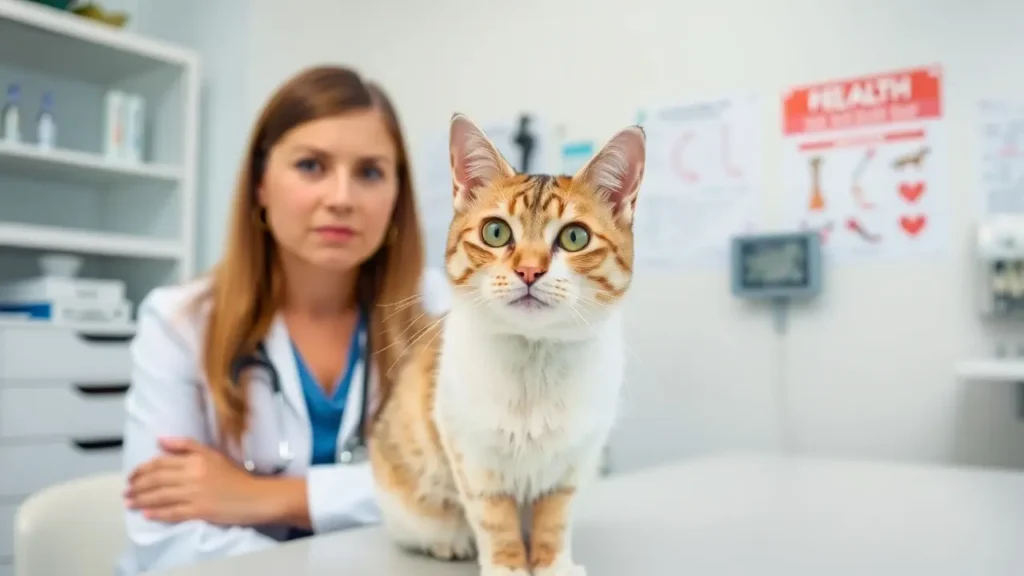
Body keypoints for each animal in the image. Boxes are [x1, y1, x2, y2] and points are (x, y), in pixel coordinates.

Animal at [366, 112, 638, 573]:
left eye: (575, 238)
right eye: (495, 232)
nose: (529, 270)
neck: (534, 357)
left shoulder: (571, 463)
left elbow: (554, 520)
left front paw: (553, 566)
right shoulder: (472, 456)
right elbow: (495, 522)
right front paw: (507, 566)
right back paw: (450, 542)